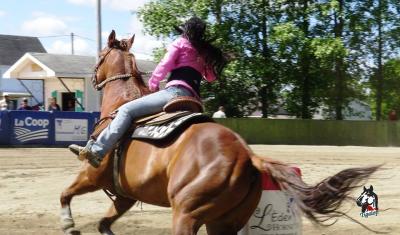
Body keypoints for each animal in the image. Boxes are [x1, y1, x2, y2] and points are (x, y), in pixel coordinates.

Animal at [60, 30, 382, 234]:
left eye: (100, 55)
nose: (91, 77)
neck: (121, 107)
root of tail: (247, 155)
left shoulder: (91, 176)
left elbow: (66, 193)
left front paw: (68, 224)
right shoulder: (124, 196)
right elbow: (103, 224)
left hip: (187, 214)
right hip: (224, 222)